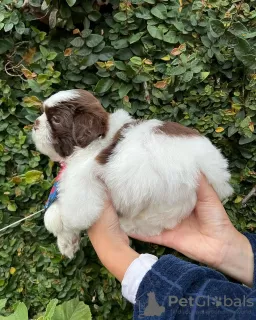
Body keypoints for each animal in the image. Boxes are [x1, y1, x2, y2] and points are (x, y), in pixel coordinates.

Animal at [31, 89, 232, 258]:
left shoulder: (82, 183)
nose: (34, 123)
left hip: (169, 200)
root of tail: (217, 171)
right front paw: (67, 243)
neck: (97, 140)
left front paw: (59, 225)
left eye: (56, 119)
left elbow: (72, 213)